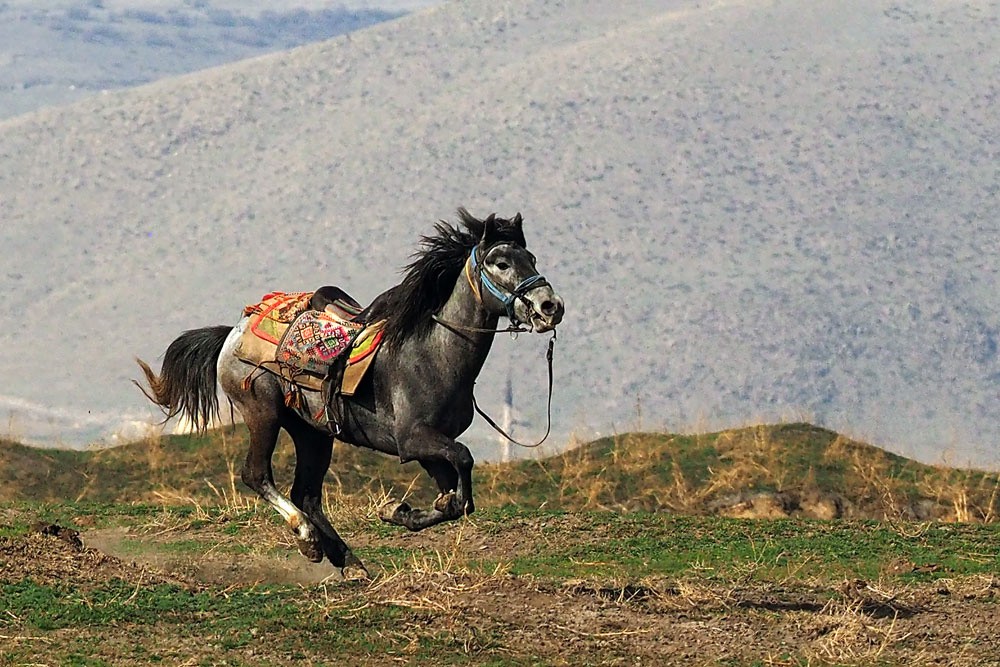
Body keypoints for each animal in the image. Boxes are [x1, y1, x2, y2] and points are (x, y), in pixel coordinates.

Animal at [135, 210, 564, 580]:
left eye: (531, 257)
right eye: (500, 262)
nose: (550, 306)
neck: (433, 352)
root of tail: (233, 332)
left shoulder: (430, 446)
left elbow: (457, 499)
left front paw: (402, 512)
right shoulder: (414, 439)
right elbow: (464, 462)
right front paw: (397, 510)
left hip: (313, 433)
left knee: (307, 494)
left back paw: (349, 562)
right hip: (263, 413)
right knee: (258, 475)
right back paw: (308, 540)